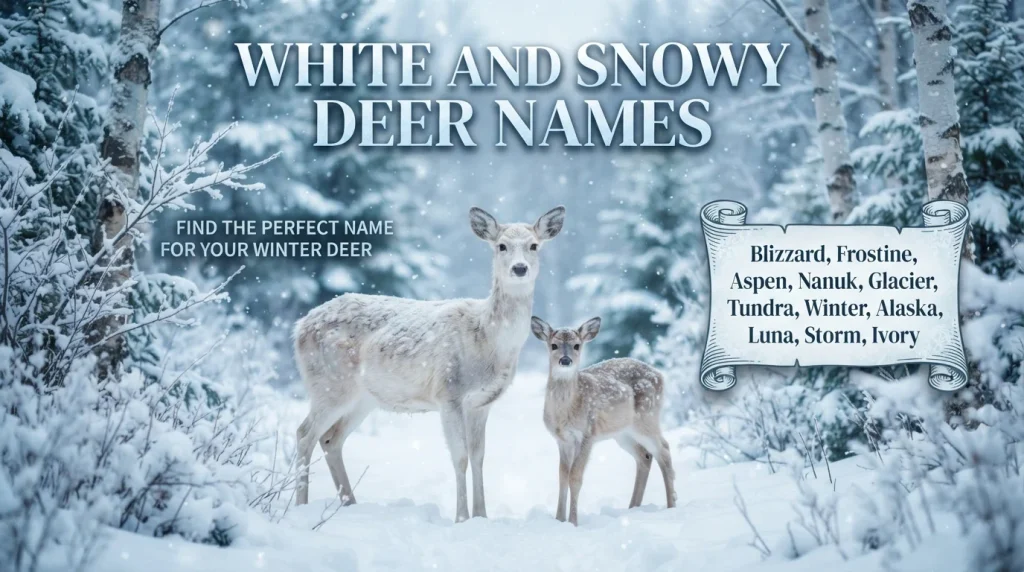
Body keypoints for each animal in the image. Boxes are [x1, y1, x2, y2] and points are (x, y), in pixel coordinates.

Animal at [293, 206, 566, 522]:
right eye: (501, 246)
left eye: (534, 245)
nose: (519, 268)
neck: (488, 341)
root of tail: (299, 327)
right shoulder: (448, 393)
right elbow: (460, 457)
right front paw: (462, 518)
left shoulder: (481, 402)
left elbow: (479, 457)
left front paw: (482, 516)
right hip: (329, 383)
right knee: (304, 434)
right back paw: (301, 506)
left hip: (363, 398)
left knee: (330, 439)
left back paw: (350, 504)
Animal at [530, 316, 676, 526]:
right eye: (554, 345)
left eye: (576, 345)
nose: (565, 360)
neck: (566, 412)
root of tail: (660, 374)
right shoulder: (562, 440)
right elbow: (562, 476)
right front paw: (559, 520)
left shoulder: (587, 434)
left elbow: (575, 477)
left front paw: (573, 522)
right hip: (622, 433)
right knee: (645, 456)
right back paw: (633, 507)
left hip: (647, 418)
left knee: (663, 449)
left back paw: (672, 505)